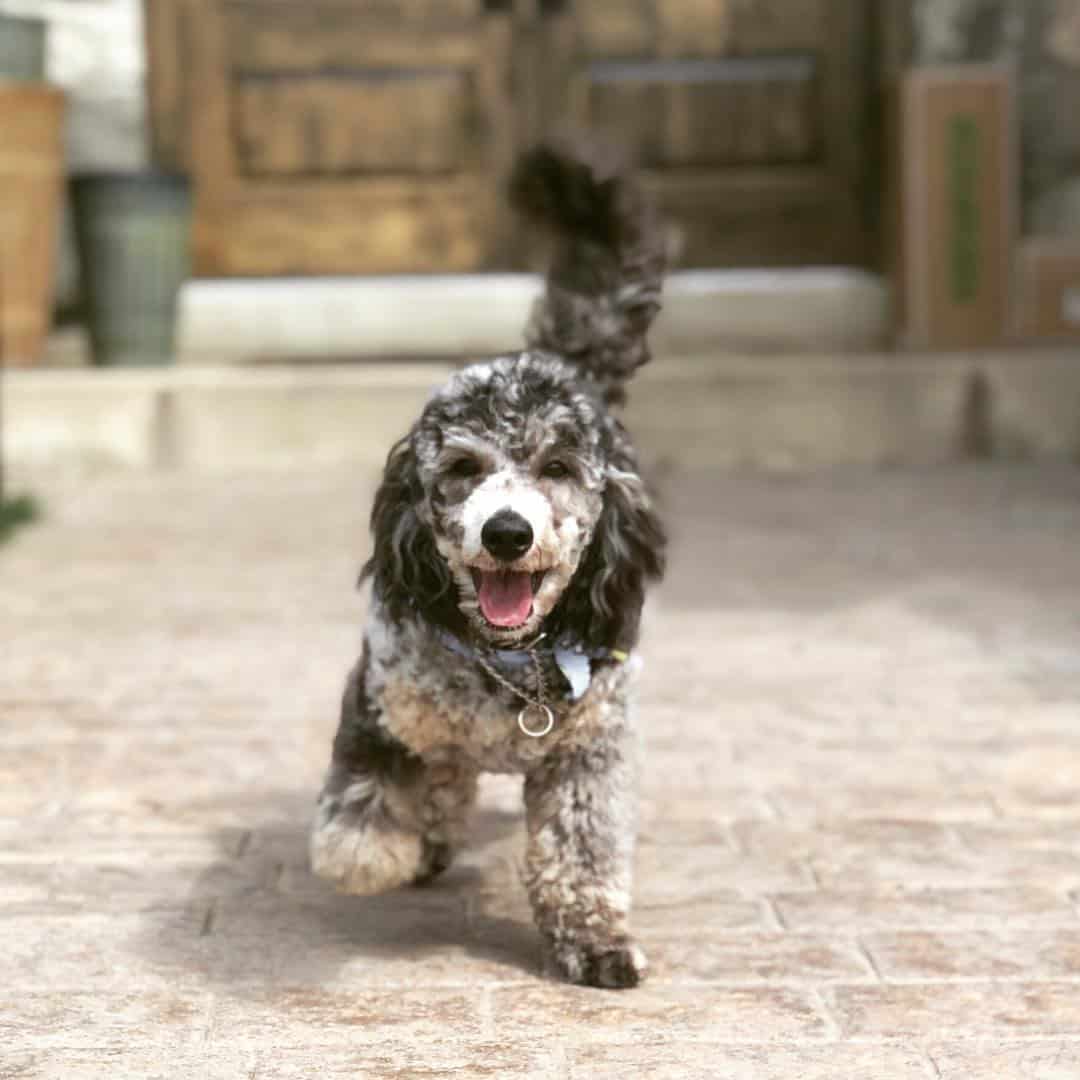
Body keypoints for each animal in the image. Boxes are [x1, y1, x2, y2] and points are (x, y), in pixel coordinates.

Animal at [308, 141, 665, 989]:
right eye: (464, 469)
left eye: (558, 468)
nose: (506, 532)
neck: (511, 667)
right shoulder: (382, 694)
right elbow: (365, 797)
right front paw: (370, 849)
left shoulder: (590, 753)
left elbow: (582, 851)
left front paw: (595, 943)